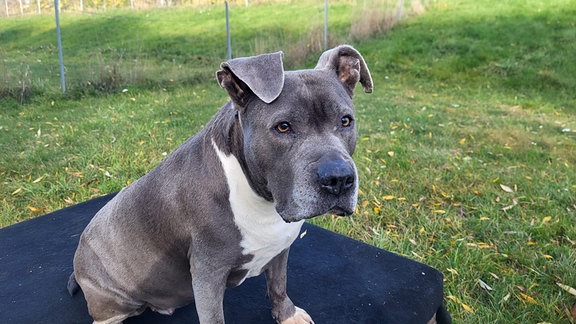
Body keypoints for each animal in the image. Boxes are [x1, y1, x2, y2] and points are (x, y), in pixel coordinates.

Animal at [68, 45, 374, 324]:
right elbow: (214, 317)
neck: (260, 198)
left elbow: (278, 284)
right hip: (114, 300)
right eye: (283, 126)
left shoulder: (280, 249)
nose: (338, 178)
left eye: (345, 121)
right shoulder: (208, 273)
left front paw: (287, 315)